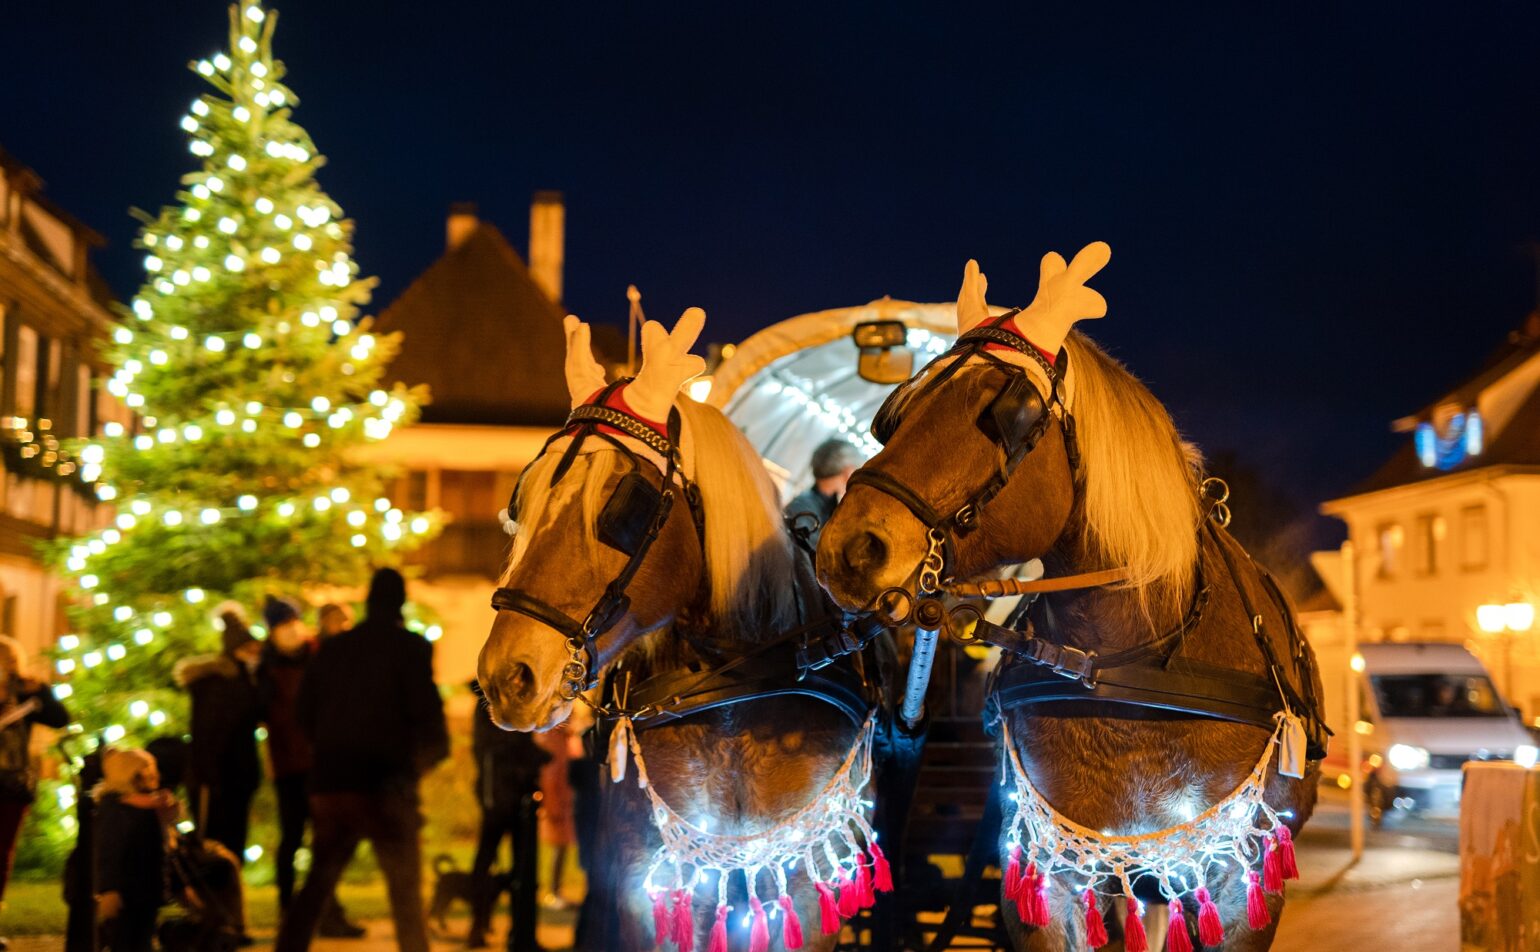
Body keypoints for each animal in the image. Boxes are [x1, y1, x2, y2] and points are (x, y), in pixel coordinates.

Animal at [480, 309, 893, 942]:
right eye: (520, 503)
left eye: (624, 504)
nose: (508, 676)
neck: (734, 692)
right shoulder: (645, 883)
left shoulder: (797, 882)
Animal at [819, 248, 1324, 942]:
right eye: (896, 410)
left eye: (1007, 411)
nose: (846, 550)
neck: (1124, 670)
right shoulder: (1051, 874)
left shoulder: (1238, 878)